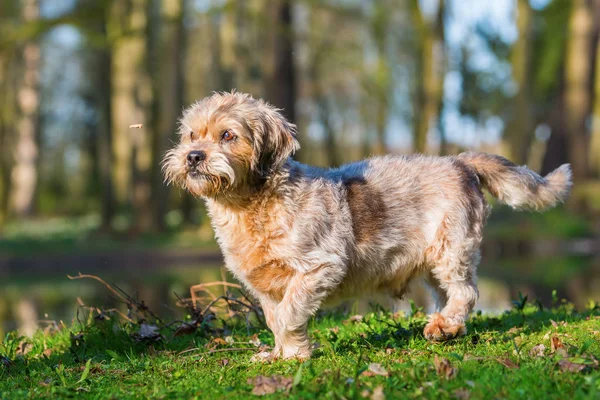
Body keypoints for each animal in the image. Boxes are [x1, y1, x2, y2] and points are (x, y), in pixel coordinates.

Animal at [162, 92, 576, 360]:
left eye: (227, 135)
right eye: (191, 135)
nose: (193, 156)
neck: (252, 206)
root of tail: (460, 162)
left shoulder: (317, 268)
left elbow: (290, 314)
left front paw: (294, 355)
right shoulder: (264, 287)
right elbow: (275, 319)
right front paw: (281, 353)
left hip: (451, 250)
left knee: (467, 293)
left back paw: (445, 325)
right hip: (435, 263)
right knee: (449, 295)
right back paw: (444, 326)